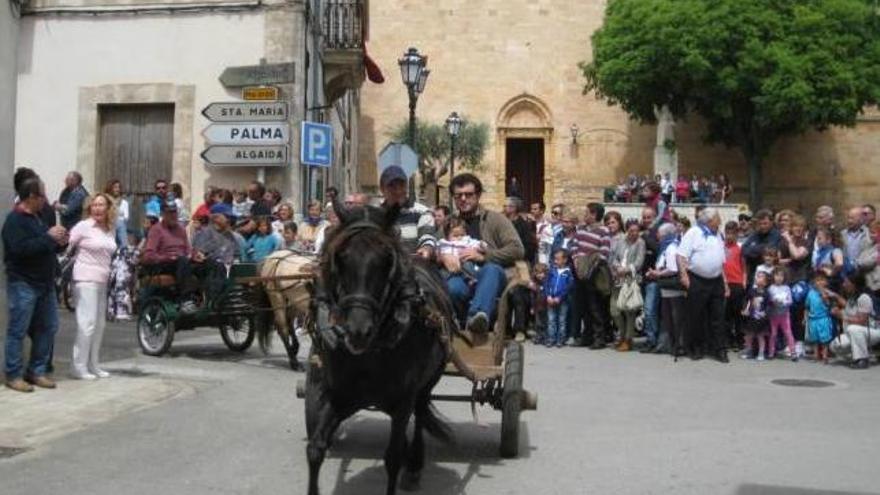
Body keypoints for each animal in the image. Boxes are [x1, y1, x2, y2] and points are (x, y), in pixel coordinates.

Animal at [304, 204, 454, 495]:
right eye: (340, 258)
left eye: (386, 260)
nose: (358, 329)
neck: (370, 353)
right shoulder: (337, 394)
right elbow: (315, 448)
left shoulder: (403, 399)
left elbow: (392, 458)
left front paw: (404, 463)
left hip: (427, 383)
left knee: (420, 413)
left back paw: (414, 464)